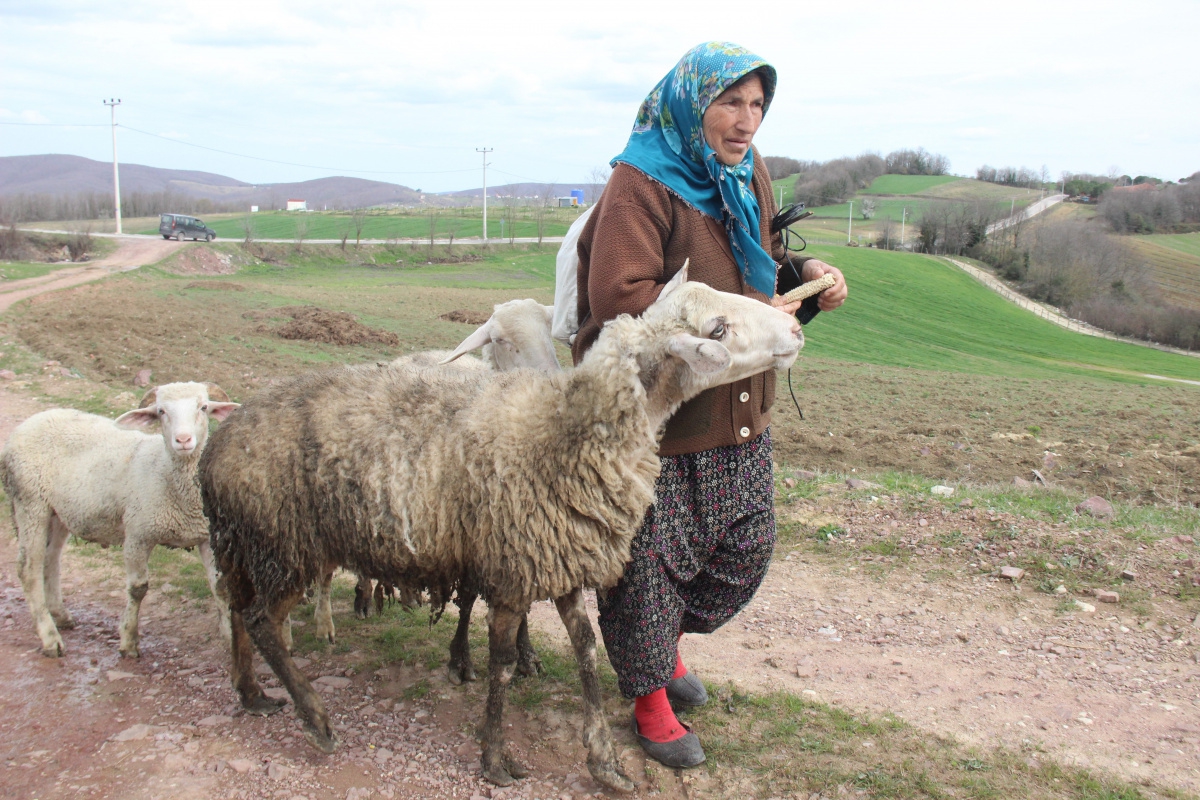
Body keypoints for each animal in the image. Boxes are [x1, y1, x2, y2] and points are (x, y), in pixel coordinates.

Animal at [0, 383, 238, 662]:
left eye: (203, 407)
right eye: (161, 411)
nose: (183, 440)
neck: (168, 475)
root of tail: (28, 424)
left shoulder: (207, 537)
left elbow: (220, 588)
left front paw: (230, 638)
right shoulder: (137, 533)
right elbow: (137, 589)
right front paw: (129, 641)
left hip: (57, 512)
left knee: (51, 560)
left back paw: (60, 616)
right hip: (30, 502)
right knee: (28, 569)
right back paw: (50, 638)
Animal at [201, 267, 801, 786]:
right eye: (717, 329)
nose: (796, 327)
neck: (567, 430)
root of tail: (218, 446)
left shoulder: (560, 562)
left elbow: (586, 654)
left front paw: (605, 763)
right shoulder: (513, 572)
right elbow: (502, 667)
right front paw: (494, 757)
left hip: (245, 545)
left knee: (236, 609)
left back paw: (251, 694)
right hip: (284, 545)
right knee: (260, 621)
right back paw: (315, 718)